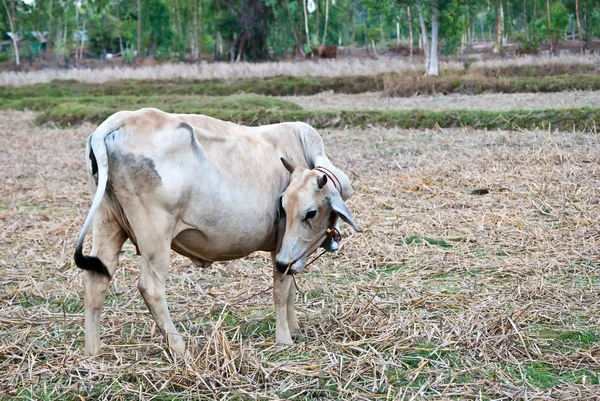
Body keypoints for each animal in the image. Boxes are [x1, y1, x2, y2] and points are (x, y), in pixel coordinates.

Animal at [72, 108, 358, 354]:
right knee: (150, 287)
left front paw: (295, 330)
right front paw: (285, 339)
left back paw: (92, 353)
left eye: (310, 212)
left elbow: (289, 291)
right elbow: (281, 290)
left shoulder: (289, 253)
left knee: (97, 279)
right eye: (285, 207)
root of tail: (122, 119)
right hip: (155, 237)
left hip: (107, 221)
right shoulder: (281, 246)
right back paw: (179, 347)